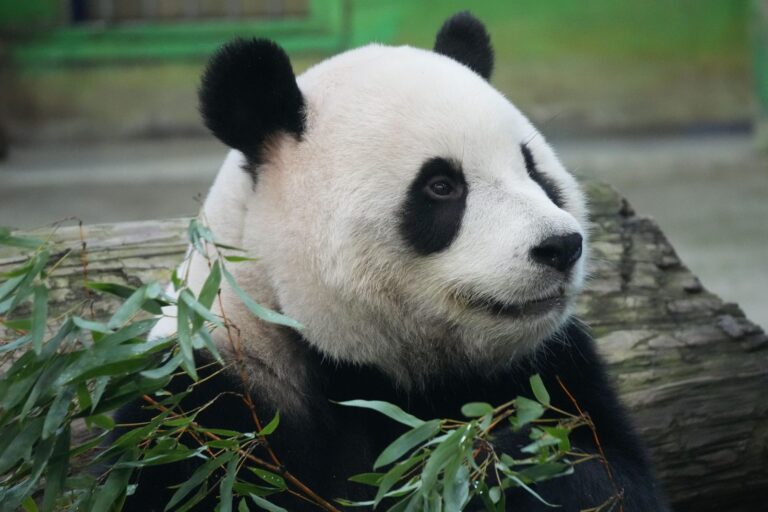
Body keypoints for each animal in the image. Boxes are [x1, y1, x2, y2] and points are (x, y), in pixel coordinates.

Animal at [117, 12, 669, 512]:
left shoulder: (554, 370)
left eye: (534, 170)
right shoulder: (207, 396)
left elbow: (612, 476)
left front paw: (490, 459)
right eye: (441, 186)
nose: (559, 247)